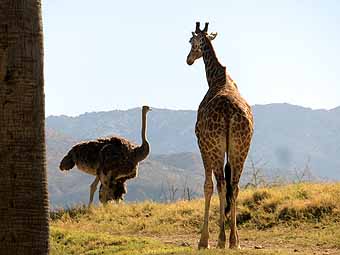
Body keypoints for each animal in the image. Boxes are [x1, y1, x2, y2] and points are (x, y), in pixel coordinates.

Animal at [187, 22, 254, 249]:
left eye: (191, 41)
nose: (188, 59)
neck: (217, 79)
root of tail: (228, 112)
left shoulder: (201, 143)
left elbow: (208, 186)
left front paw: (204, 240)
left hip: (215, 148)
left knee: (222, 185)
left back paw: (222, 239)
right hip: (241, 148)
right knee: (235, 186)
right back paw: (234, 240)